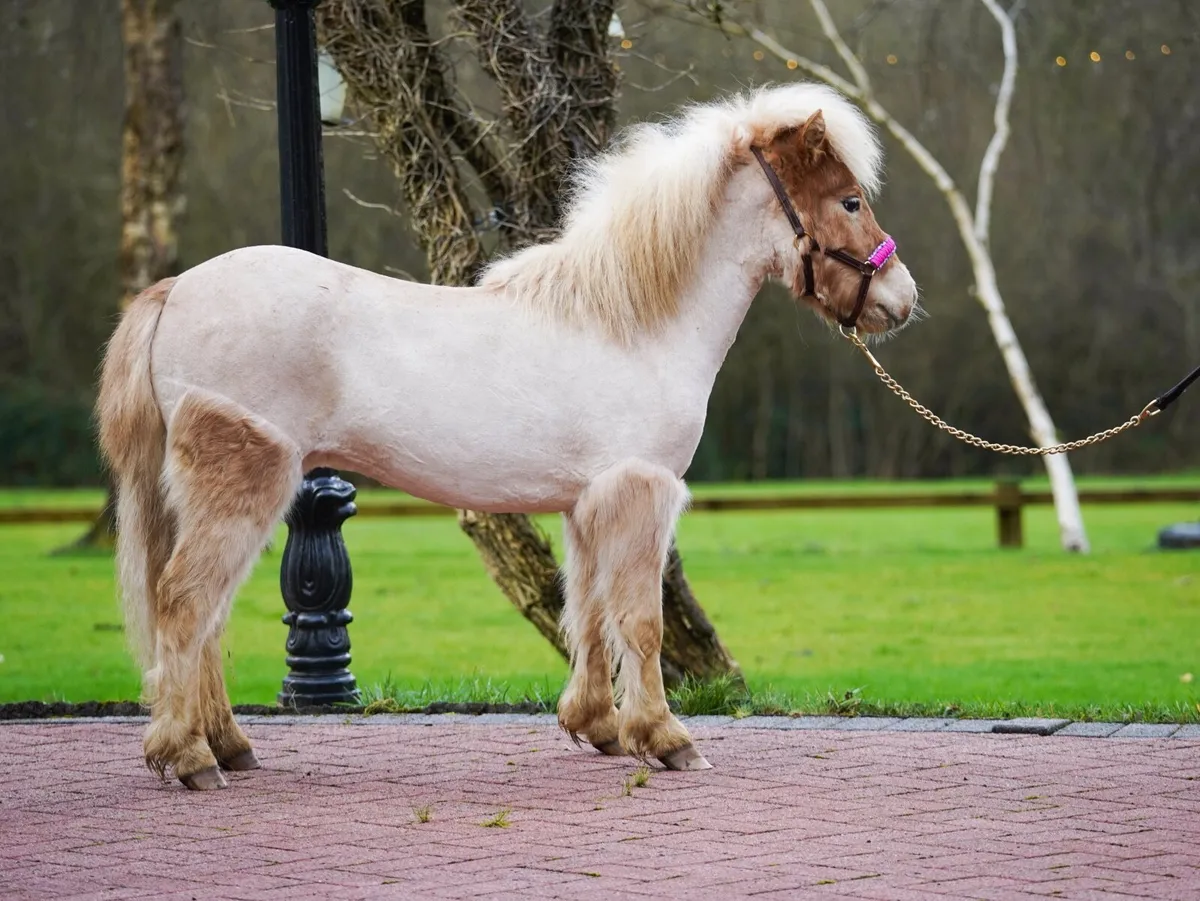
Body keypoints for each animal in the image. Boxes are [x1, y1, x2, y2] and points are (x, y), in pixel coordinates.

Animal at [97, 81, 918, 790]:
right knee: (185, 602)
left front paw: (598, 726)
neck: (630, 323)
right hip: (246, 479)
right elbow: (641, 620)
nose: (900, 299)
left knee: (207, 615)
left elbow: (587, 610)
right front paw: (665, 737)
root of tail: (177, 290)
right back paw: (187, 757)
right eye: (849, 199)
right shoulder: (643, 490)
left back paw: (229, 746)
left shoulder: (588, 503)